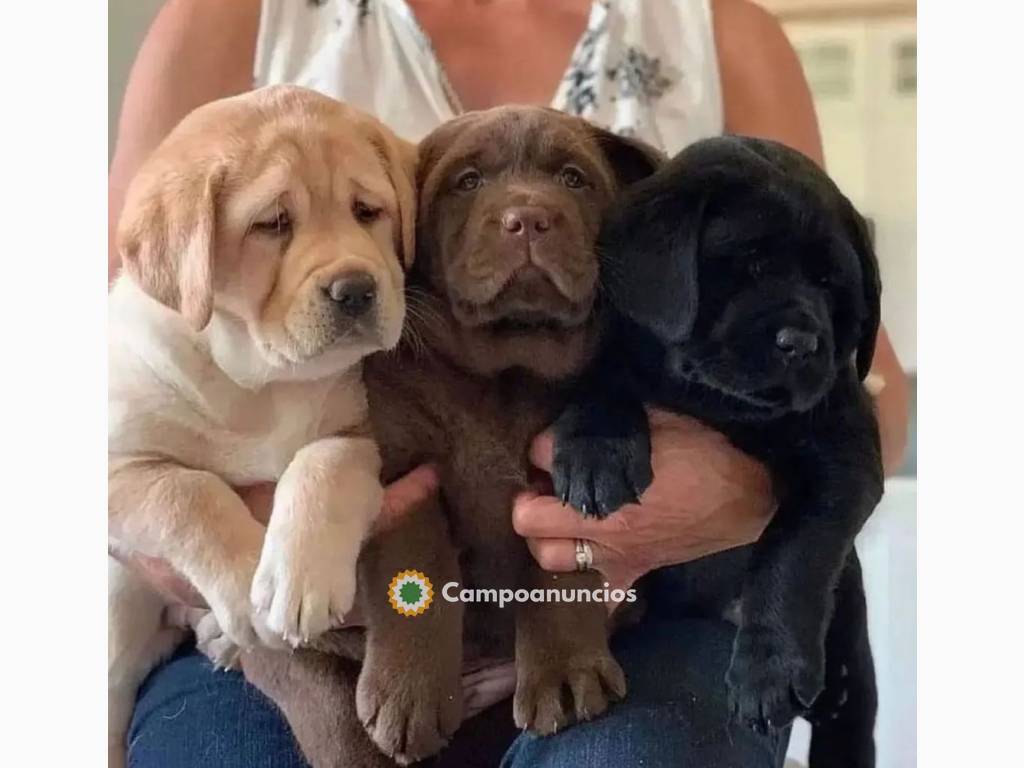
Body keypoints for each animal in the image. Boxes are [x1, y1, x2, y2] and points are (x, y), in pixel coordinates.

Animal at [108, 85, 415, 768]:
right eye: (272, 225)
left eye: (368, 211)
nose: (357, 288)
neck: (262, 384)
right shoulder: (115, 464)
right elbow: (186, 491)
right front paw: (244, 582)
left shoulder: (365, 432)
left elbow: (321, 463)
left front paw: (297, 577)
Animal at [552, 135, 880, 765]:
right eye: (749, 266)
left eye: (830, 286)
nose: (802, 343)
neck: (716, 405)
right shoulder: (615, 349)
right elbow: (603, 375)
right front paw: (596, 452)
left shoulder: (845, 455)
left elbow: (794, 548)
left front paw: (769, 668)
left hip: (848, 653)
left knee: (850, 721)